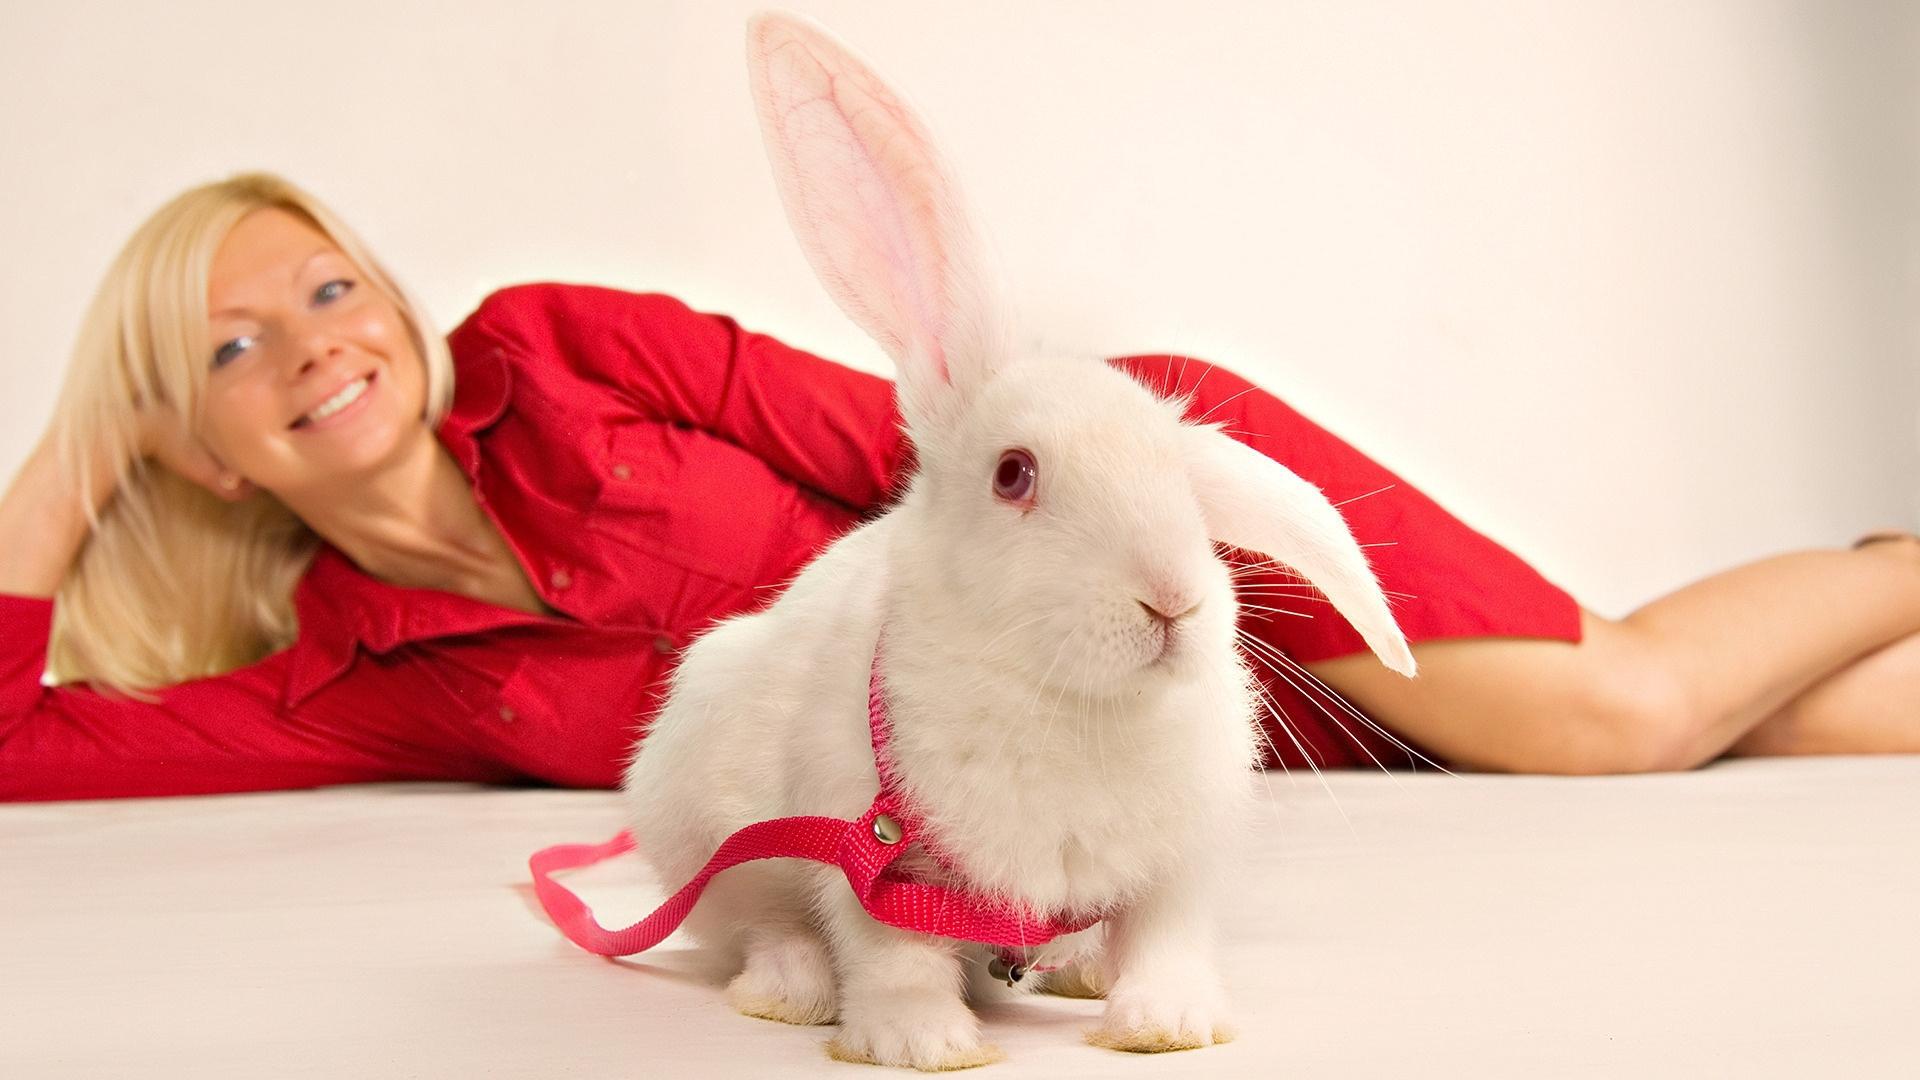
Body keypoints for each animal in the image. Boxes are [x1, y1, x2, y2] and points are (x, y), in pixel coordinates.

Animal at [619, 10, 1417, 1072]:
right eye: (1013, 475)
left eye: (1181, 479)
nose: (1173, 598)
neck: (1074, 705)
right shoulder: (866, 844)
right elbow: (890, 951)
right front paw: (922, 1043)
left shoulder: (1177, 861)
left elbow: (1166, 935)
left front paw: (1168, 1025)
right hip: (700, 819)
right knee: (764, 924)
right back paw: (791, 992)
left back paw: (1078, 970)